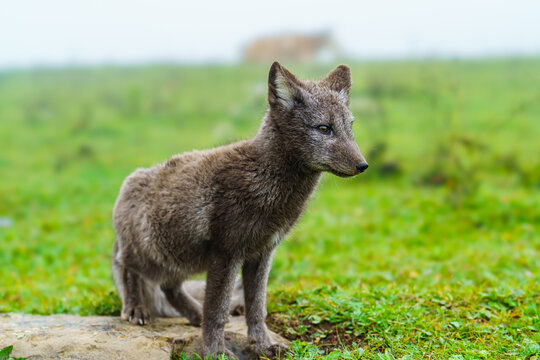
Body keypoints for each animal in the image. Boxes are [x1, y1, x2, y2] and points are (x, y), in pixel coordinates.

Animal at [112, 62, 370, 358]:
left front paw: (264, 345)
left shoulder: (262, 253)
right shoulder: (226, 252)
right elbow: (218, 312)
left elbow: (257, 309)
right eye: (324, 128)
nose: (363, 165)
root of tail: (128, 183)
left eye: (350, 127)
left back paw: (194, 315)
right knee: (127, 266)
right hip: (153, 255)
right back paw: (135, 308)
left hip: (180, 259)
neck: (265, 178)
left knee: (169, 287)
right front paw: (216, 352)